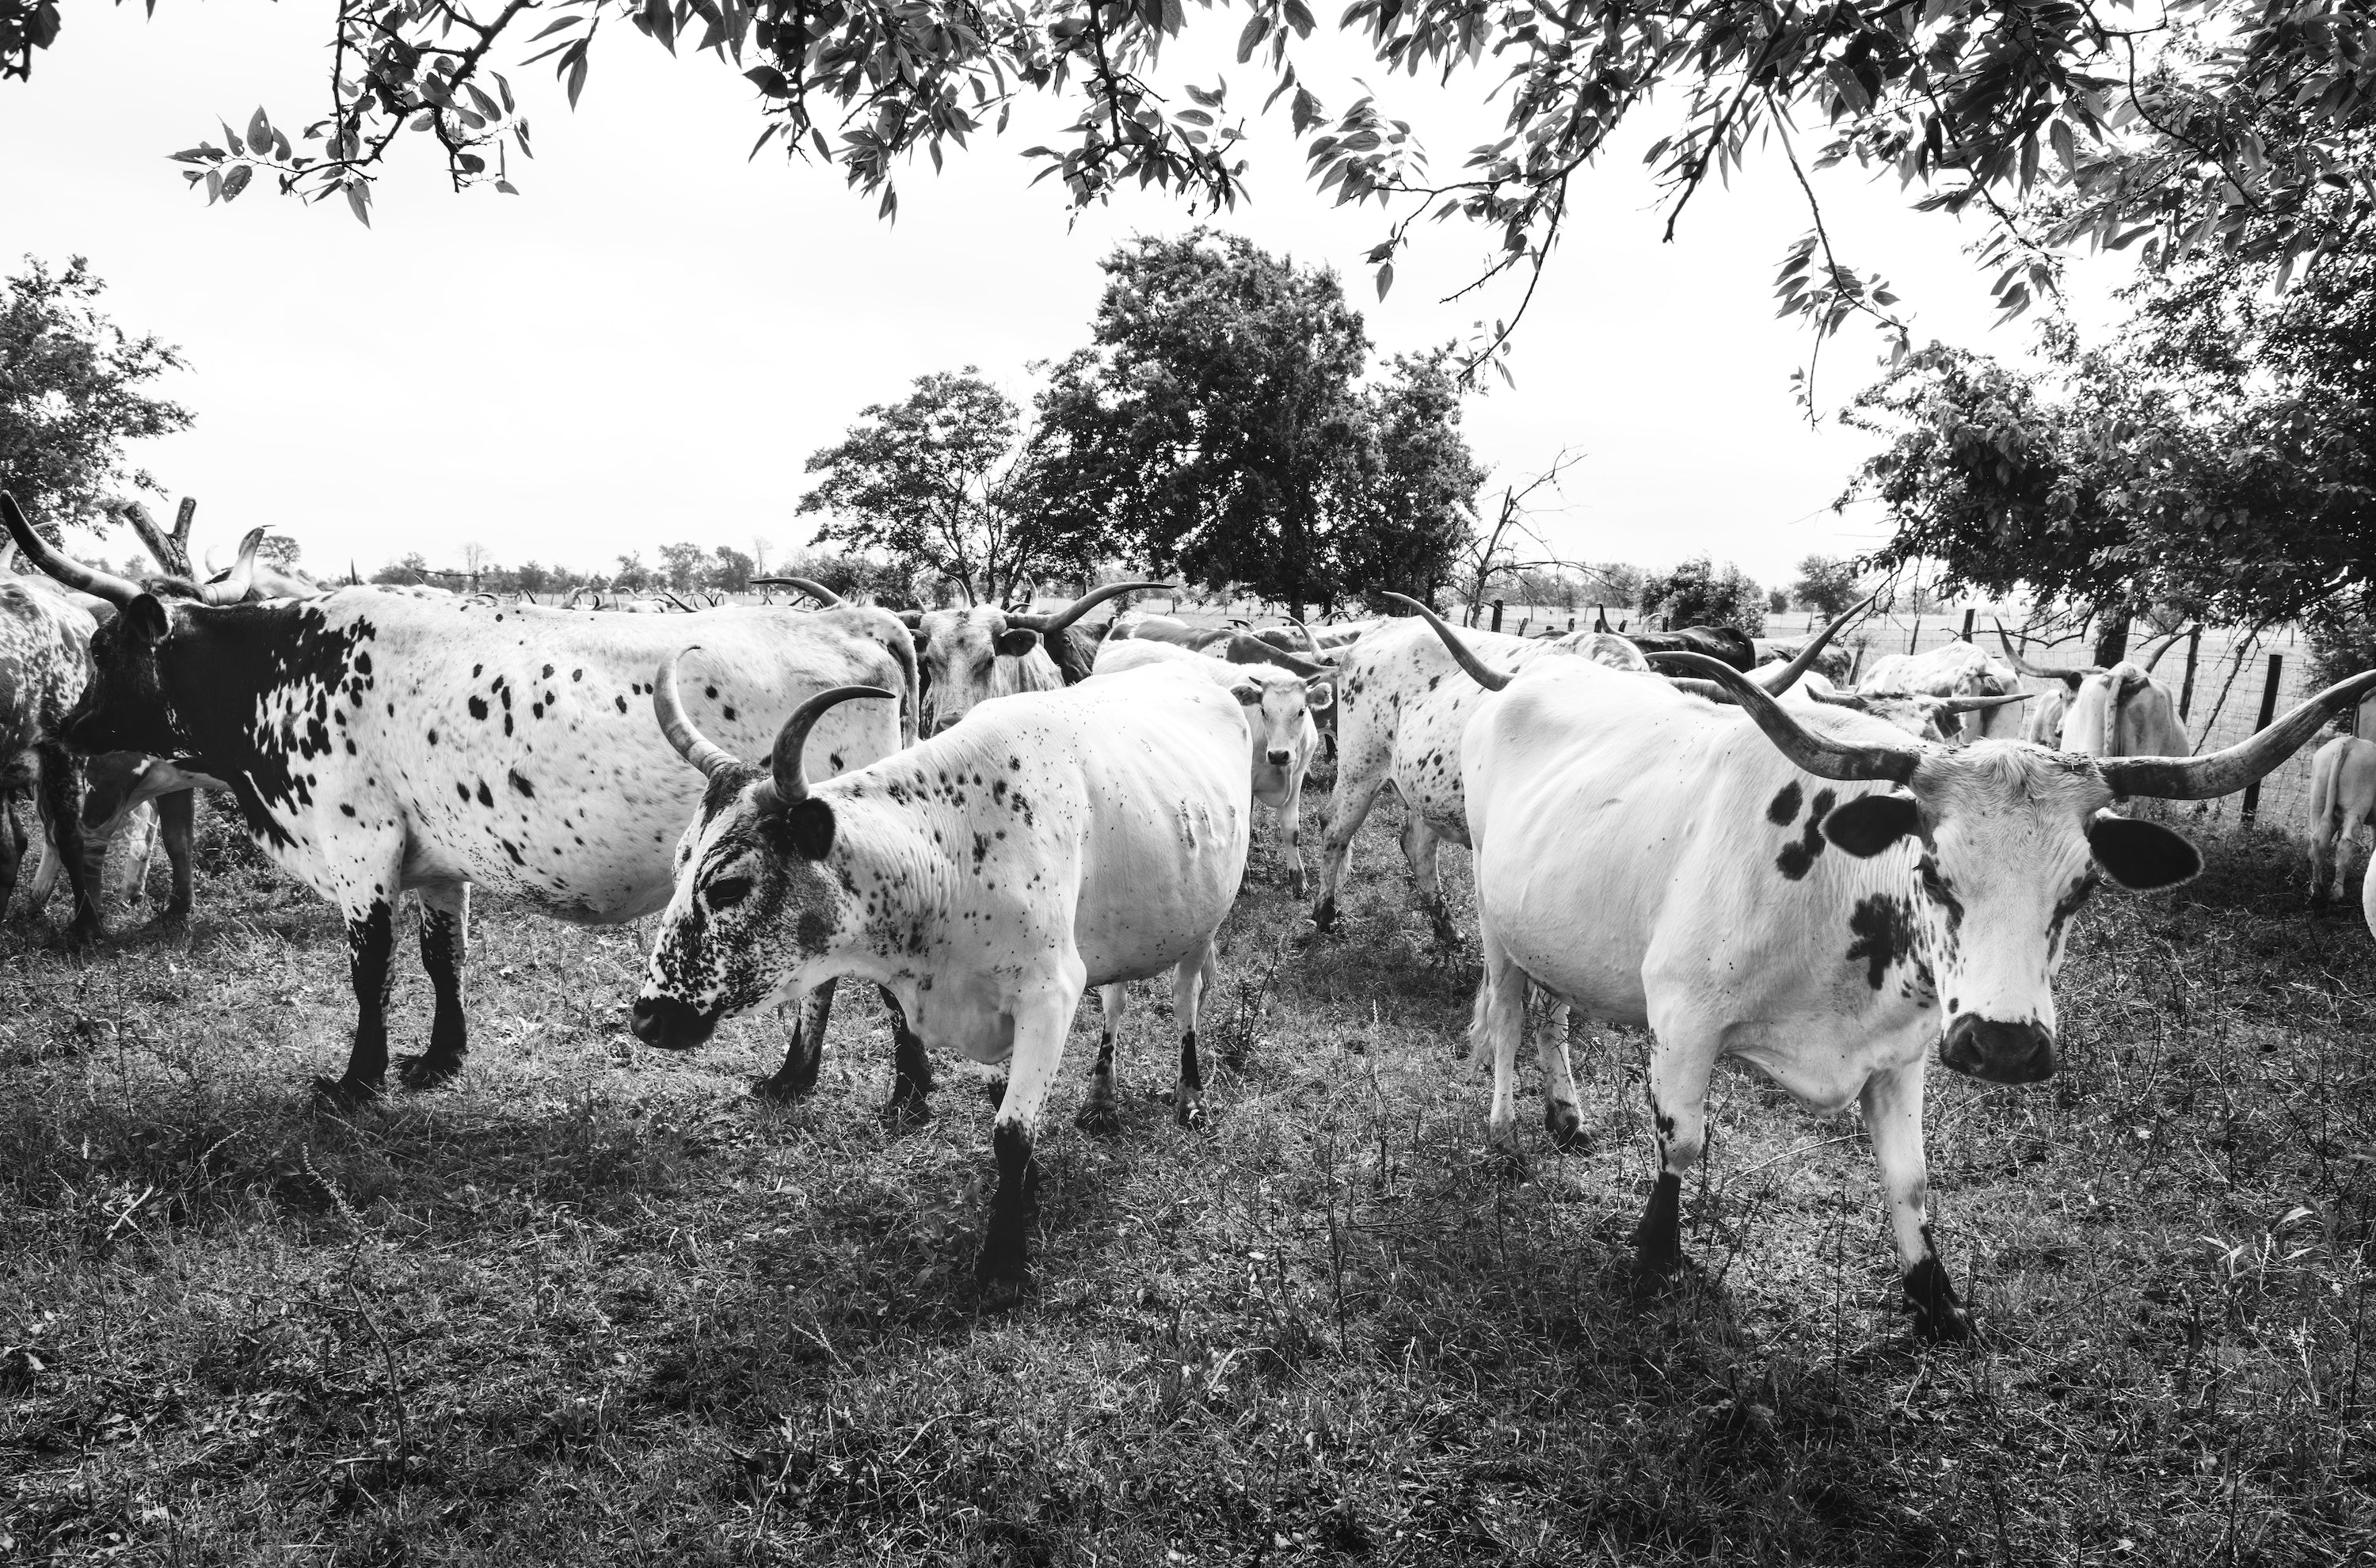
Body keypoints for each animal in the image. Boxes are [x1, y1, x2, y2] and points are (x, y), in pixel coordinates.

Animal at [0, 497, 912, 1107]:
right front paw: (442, 1058)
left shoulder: (358, 850)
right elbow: (444, 959)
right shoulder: (437, 864)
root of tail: (868, 625)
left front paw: (357, 1079)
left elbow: (370, 969)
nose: (68, 725)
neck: (287, 664)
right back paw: (807, 1078)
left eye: (104, 644)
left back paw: (865, 1086)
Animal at [632, 660, 1264, 1283]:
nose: (646, 1020)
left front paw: (1004, 1262)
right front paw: (1029, 1190)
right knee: (1117, 1000)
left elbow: (1012, 1132)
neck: (950, 850)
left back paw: (1190, 1096)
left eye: (729, 885)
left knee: (1185, 1000)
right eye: (677, 864)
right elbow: (1003, 1101)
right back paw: (1102, 1097)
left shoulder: (1049, 996)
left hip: (1202, 927)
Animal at [1093, 632, 1340, 889]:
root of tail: (1116, 648)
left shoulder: (1297, 776)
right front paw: (1245, 879)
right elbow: (1245, 824)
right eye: (1264, 711)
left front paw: (1298, 880)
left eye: (1301, 711)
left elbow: (1292, 830)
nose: (1279, 754)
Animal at [1388, 594, 2376, 1340]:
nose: (2006, 1045)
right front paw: (1652, 1264)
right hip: (1495, 916)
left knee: (1557, 1013)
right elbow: (1684, 1142)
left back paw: (1567, 1114)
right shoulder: (1684, 1023)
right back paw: (1507, 1128)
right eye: (1932, 870)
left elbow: (1911, 1179)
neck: (1837, 894)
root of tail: (1535, 678)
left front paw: (1936, 1302)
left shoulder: (1903, 1056)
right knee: (1511, 1013)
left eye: (2083, 887)